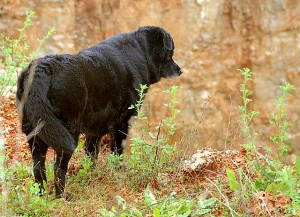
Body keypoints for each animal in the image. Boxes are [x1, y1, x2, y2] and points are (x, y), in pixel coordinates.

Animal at [17, 26, 183, 199]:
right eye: (170, 52)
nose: (180, 70)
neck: (141, 52)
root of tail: (41, 71)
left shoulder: (94, 131)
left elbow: (91, 155)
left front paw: (91, 176)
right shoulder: (122, 124)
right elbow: (117, 153)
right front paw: (118, 173)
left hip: (36, 132)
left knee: (38, 167)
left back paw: (41, 195)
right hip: (68, 132)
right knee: (58, 167)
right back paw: (62, 197)